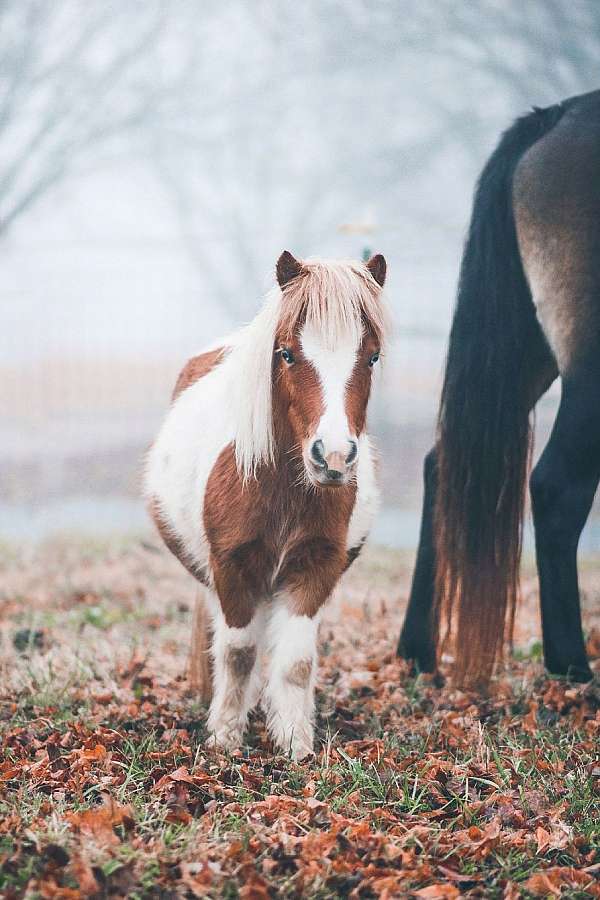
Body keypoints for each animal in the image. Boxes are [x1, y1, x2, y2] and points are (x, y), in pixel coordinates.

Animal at [146, 250, 390, 756]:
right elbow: (238, 652)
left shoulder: (316, 568)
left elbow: (296, 662)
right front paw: (224, 738)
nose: (333, 457)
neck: (282, 489)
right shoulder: (232, 567)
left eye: (373, 356)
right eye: (287, 353)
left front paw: (295, 742)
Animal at [398, 89, 600, 684]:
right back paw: (574, 669)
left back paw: (417, 649)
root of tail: (556, 116)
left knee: (443, 465)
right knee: (558, 488)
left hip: (521, 346)